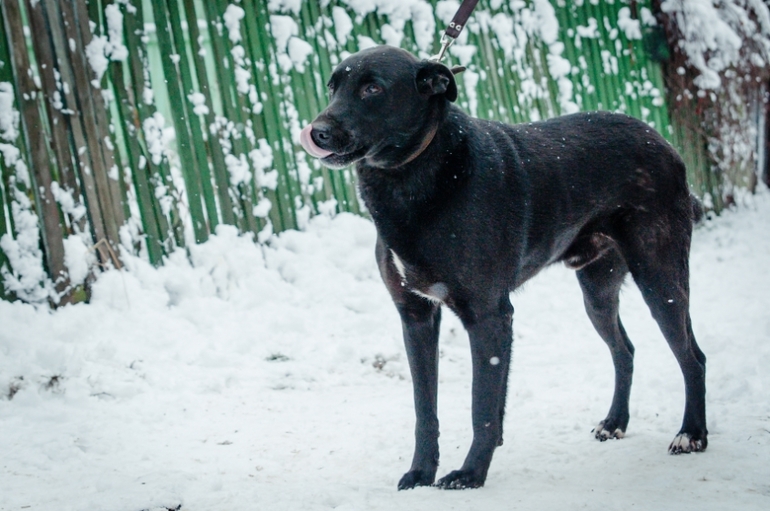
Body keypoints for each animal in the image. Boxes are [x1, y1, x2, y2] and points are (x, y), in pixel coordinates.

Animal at [299, 46, 707, 490]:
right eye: (333, 86)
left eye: (372, 88)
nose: (316, 132)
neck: (415, 175)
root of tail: (662, 141)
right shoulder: (416, 316)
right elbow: (425, 408)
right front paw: (421, 472)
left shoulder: (489, 315)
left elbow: (482, 406)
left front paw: (470, 473)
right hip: (597, 293)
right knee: (625, 350)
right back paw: (616, 422)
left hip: (661, 282)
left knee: (693, 357)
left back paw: (692, 434)